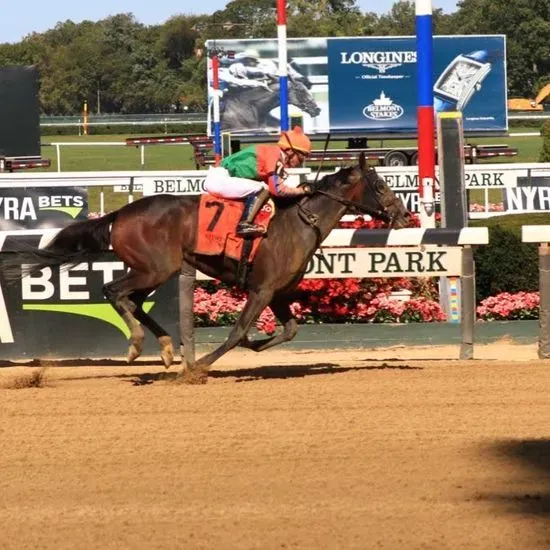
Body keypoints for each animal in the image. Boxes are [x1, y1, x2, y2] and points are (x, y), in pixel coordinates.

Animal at [3, 156, 410, 384]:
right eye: (380, 184)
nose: (405, 215)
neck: (298, 222)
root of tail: (120, 214)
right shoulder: (261, 290)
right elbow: (236, 333)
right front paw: (198, 368)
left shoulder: (278, 292)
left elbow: (289, 330)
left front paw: (253, 345)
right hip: (155, 268)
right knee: (114, 292)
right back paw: (138, 345)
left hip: (155, 271)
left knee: (132, 300)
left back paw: (166, 348)